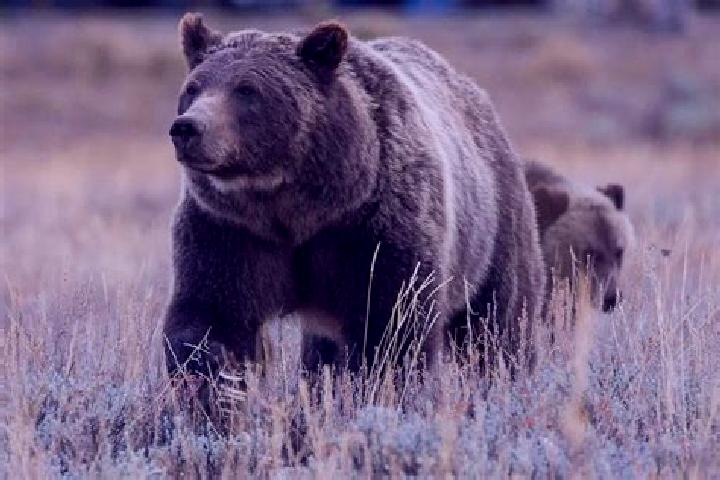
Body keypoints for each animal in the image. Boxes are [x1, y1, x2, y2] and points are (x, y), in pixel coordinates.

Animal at [163, 13, 545, 380]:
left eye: (247, 90)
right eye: (193, 87)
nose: (187, 127)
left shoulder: (373, 226)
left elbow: (392, 324)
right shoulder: (230, 228)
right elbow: (213, 317)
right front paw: (210, 383)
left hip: (493, 228)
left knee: (497, 319)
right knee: (322, 352)